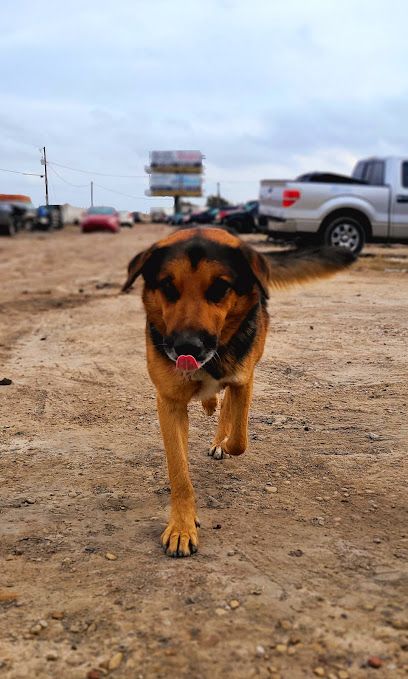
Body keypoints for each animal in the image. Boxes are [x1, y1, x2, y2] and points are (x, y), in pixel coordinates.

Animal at [122, 227, 354, 556]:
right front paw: (182, 527)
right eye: (167, 286)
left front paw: (224, 443)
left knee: (228, 412)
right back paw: (208, 402)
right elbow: (179, 473)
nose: (187, 347)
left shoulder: (244, 380)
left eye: (220, 288)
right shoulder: (169, 401)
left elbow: (240, 439)